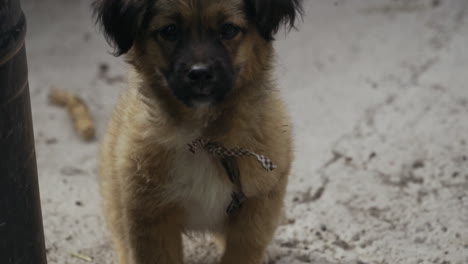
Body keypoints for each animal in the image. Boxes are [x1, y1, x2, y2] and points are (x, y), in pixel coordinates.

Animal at [93, 0, 302, 264]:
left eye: (228, 29)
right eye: (170, 31)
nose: (200, 73)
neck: (202, 137)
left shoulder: (256, 208)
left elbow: (242, 252)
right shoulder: (149, 215)